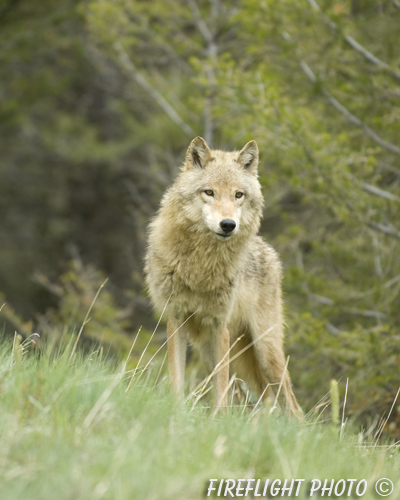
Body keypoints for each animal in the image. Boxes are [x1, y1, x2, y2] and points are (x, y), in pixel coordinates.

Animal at [145, 137, 302, 418]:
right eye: (209, 192)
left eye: (238, 195)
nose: (228, 225)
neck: (201, 266)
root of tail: (271, 252)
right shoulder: (176, 320)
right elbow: (177, 379)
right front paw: (177, 412)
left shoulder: (221, 326)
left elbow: (220, 390)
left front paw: (218, 420)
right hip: (210, 350)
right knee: (252, 398)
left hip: (265, 352)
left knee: (291, 405)